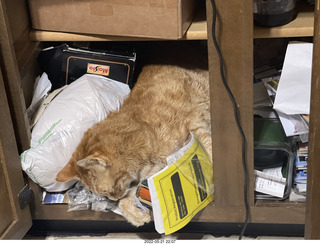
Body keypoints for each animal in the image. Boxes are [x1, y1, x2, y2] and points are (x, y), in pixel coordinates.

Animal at [56, 64, 211, 227]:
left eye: (105, 192)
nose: (114, 199)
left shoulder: (197, 130)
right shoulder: (148, 175)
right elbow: (127, 200)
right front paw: (137, 216)